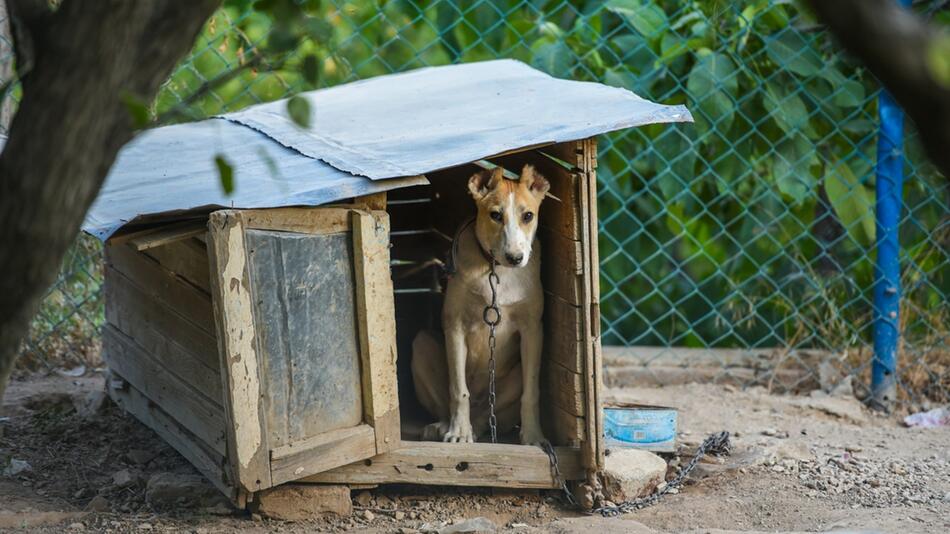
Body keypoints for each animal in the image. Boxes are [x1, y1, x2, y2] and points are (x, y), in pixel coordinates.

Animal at [410, 165, 552, 446]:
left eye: (528, 216)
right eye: (495, 215)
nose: (515, 258)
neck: (496, 270)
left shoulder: (533, 330)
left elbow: (531, 393)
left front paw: (533, 436)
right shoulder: (454, 326)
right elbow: (458, 389)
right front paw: (458, 432)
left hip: (513, 376)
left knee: (487, 417)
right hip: (421, 344)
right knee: (454, 405)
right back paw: (444, 427)